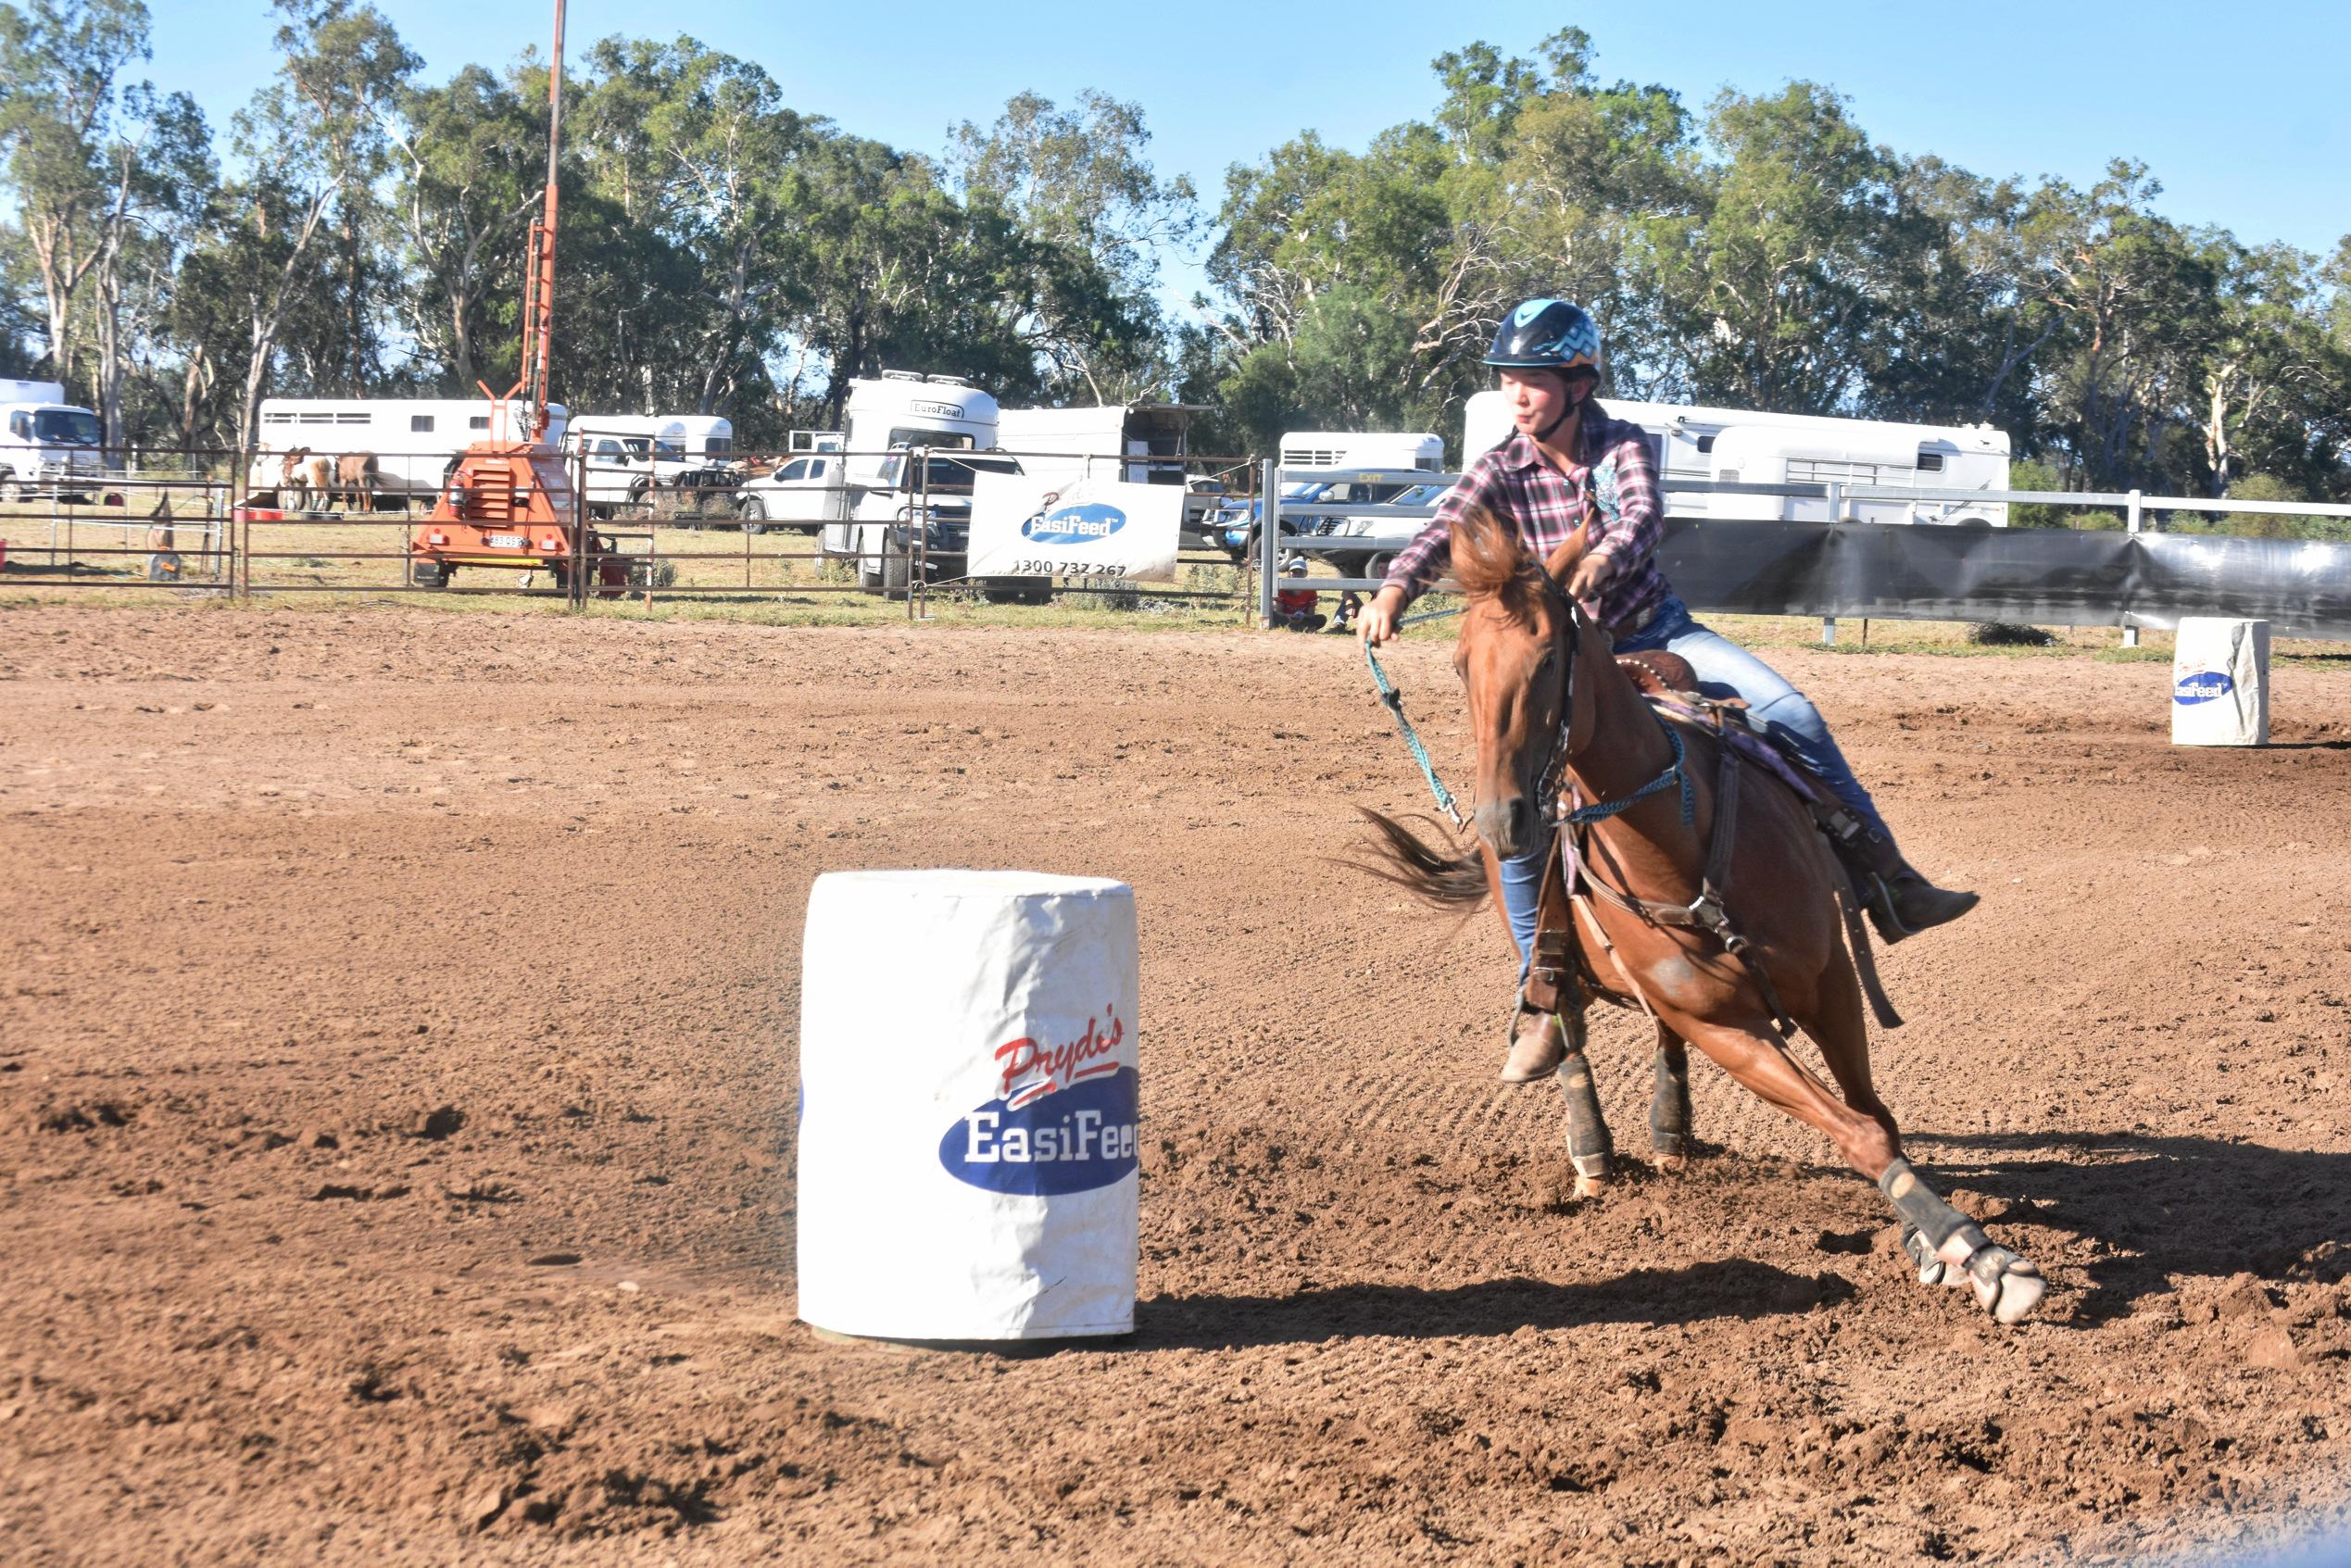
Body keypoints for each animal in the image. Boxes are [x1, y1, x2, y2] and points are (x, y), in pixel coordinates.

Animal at [1373, 505, 2050, 1325]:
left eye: (1548, 656)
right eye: (1460, 664)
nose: (1503, 821)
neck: (1681, 846)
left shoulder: (1829, 981)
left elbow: (1875, 1114)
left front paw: (1931, 1239)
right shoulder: (1725, 1028)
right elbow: (1858, 1134)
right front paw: (1978, 1253)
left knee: (1661, 1035)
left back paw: (1671, 1128)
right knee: (1567, 1028)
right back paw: (1590, 1146)